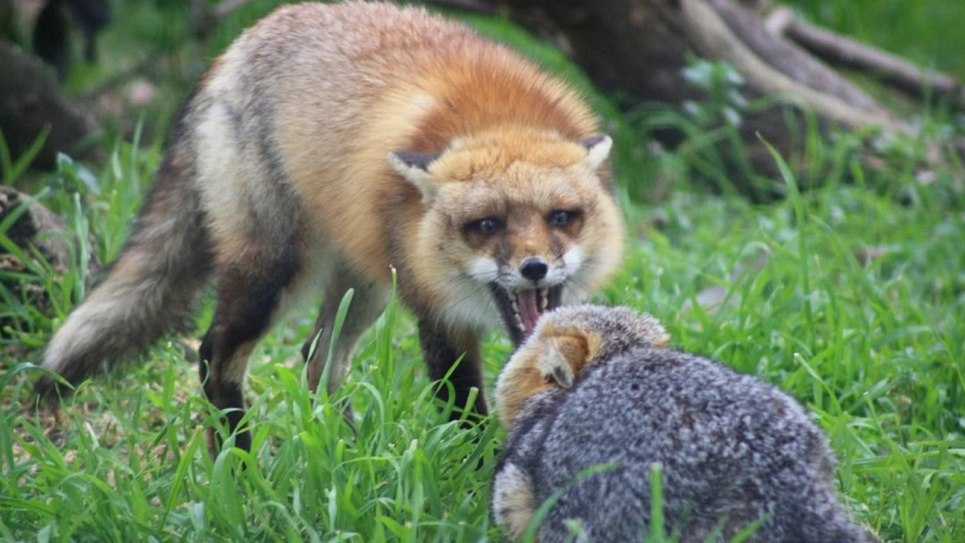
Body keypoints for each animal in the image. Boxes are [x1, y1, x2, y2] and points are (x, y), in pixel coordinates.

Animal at [32, 2, 624, 452]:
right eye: (486, 224)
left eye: (561, 218)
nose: (534, 268)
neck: (496, 118)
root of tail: (240, 42)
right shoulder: (436, 312)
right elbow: (466, 413)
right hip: (275, 271)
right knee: (213, 356)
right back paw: (238, 465)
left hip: (366, 283)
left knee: (317, 361)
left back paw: (351, 455)